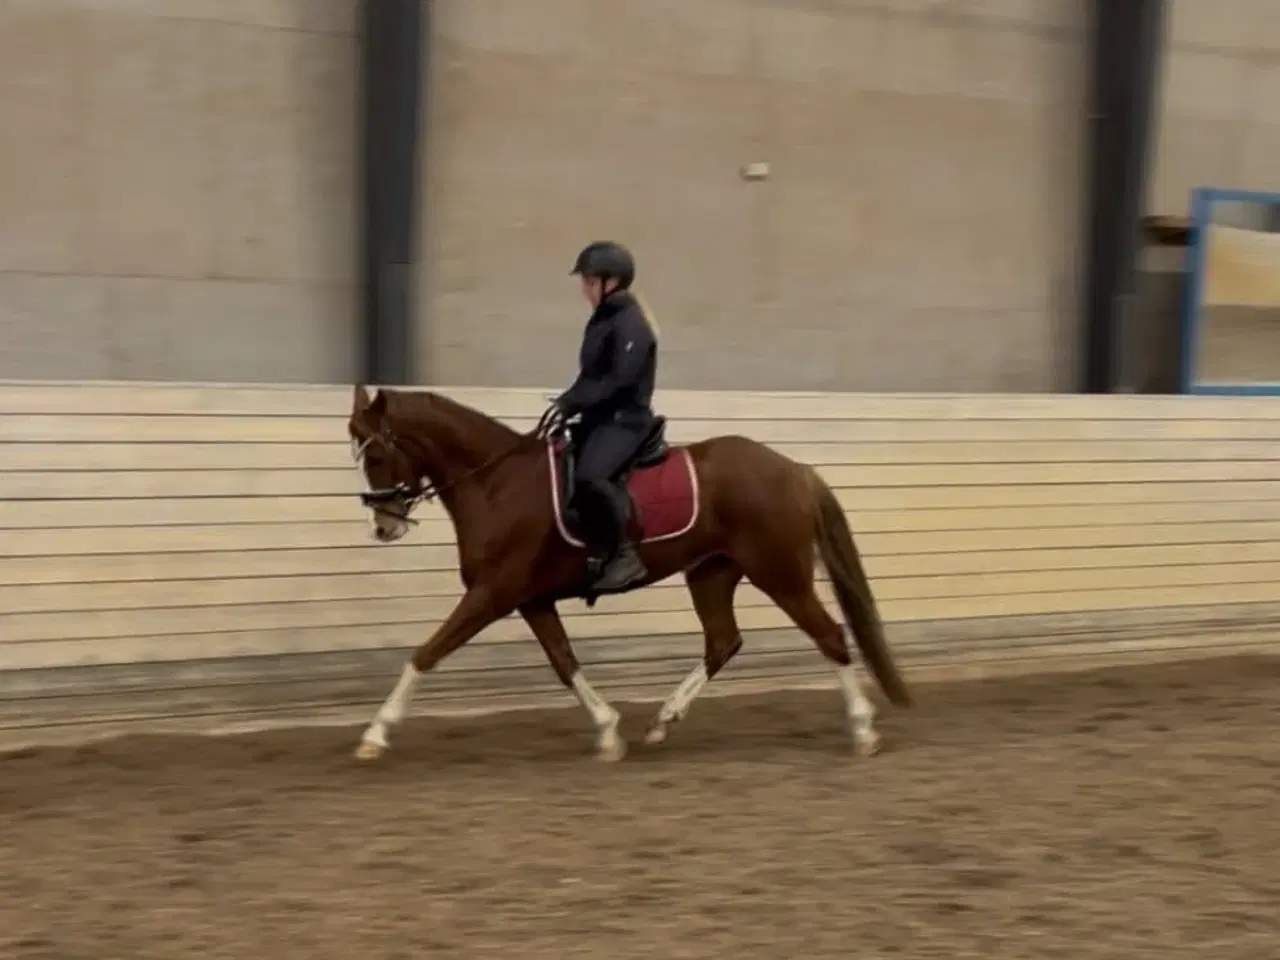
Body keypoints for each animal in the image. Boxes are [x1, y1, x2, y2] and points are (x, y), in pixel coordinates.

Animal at [346, 384, 912, 762]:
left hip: (781, 574)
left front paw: (375, 734)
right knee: (722, 642)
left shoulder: (493, 594)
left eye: (376, 453)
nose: (383, 525)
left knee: (829, 635)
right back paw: (662, 723)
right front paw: (608, 730)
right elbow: (564, 662)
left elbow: (425, 654)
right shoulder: (531, 600)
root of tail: (794, 469)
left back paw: (863, 731)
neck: (497, 482)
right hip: (711, 574)